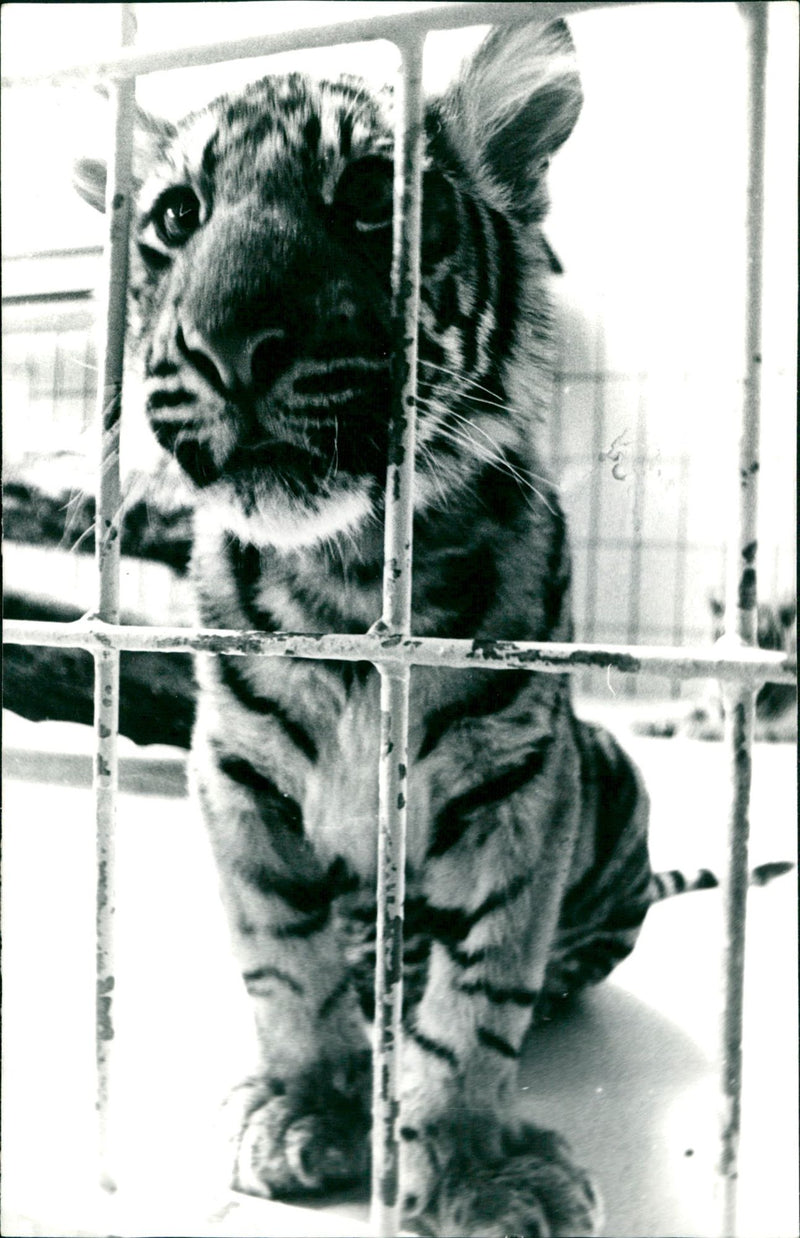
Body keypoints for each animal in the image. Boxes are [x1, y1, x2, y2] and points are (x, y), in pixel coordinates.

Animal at [75, 20, 660, 1237]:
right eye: (176, 216)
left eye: (369, 198)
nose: (224, 344)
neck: (345, 582)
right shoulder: (233, 772)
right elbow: (282, 960)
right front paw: (307, 1108)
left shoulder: (521, 781)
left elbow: (481, 990)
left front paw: (478, 1166)